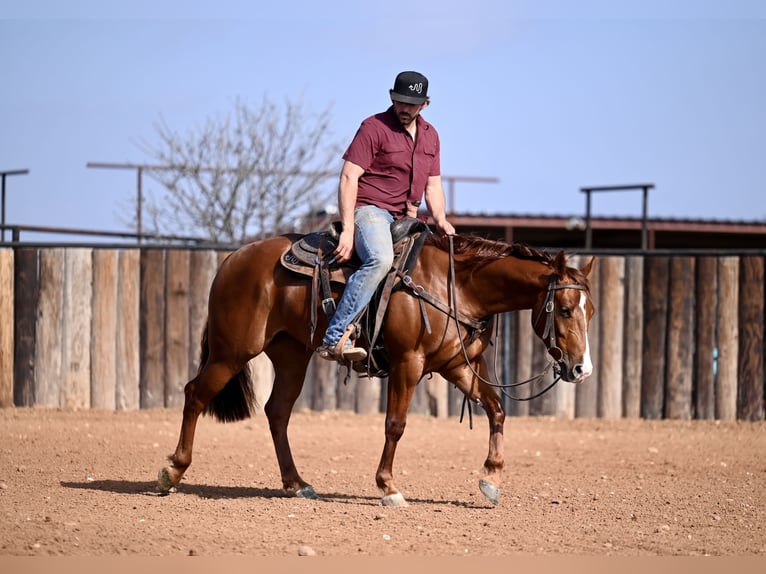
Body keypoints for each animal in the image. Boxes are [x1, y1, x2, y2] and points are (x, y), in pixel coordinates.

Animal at [159, 234, 596, 508]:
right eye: (565, 309)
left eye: (590, 311)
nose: (581, 369)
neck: (456, 288)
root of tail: (233, 259)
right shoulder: (408, 363)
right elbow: (395, 424)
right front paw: (388, 487)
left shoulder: (457, 366)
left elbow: (497, 409)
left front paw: (491, 480)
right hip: (231, 352)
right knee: (195, 394)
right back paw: (172, 472)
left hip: (291, 356)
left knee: (277, 412)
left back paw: (296, 484)